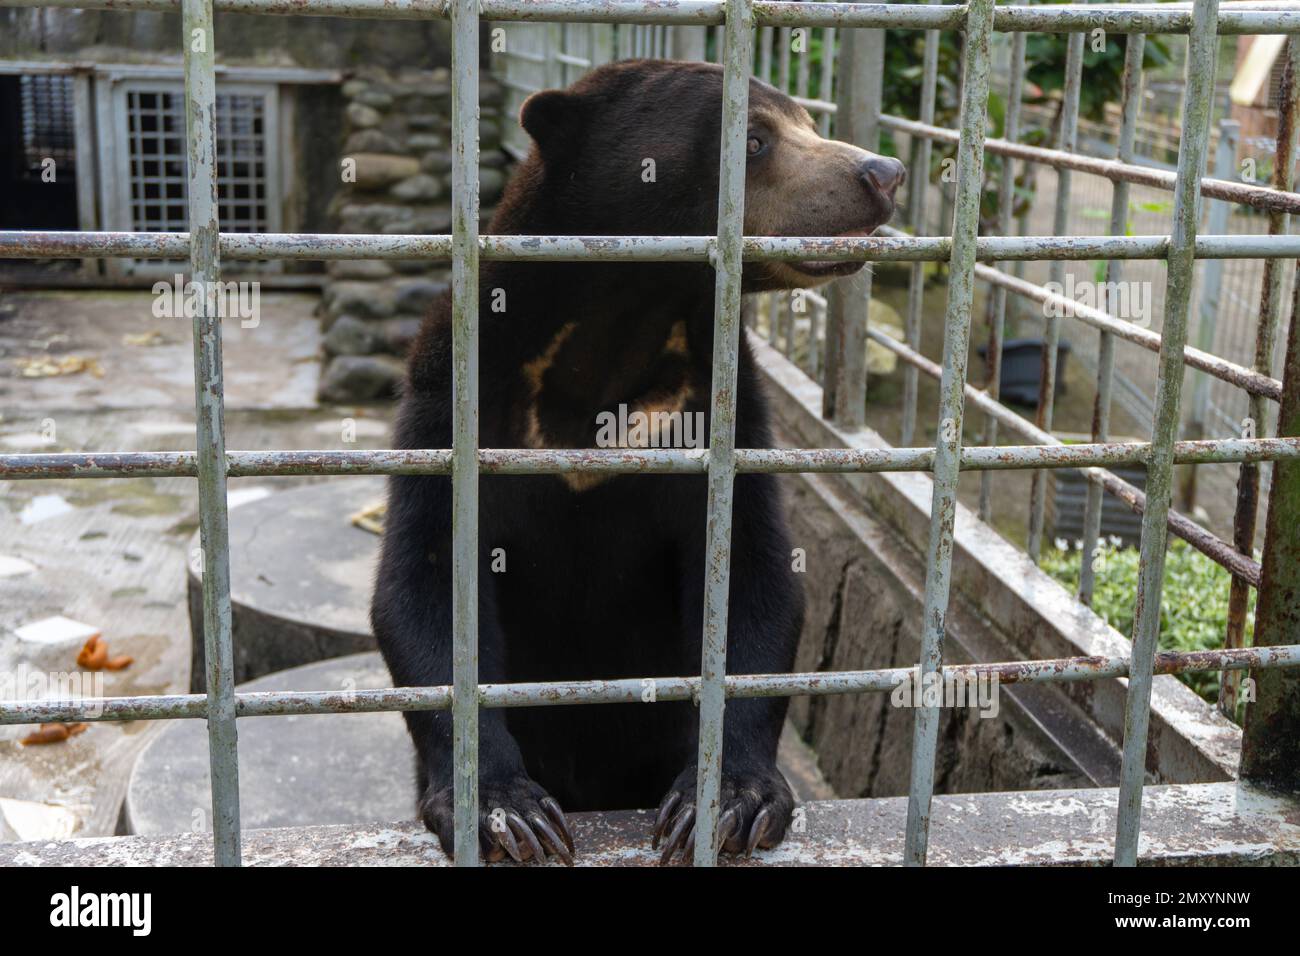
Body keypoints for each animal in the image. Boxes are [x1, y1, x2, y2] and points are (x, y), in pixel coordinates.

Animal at [369, 59, 904, 868]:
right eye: (753, 140)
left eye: (808, 122)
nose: (884, 173)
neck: (617, 326)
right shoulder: (450, 399)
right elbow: (425, 582)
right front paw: (506, 812)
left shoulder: (722, 409)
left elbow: (754, 579)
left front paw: (732, 801)